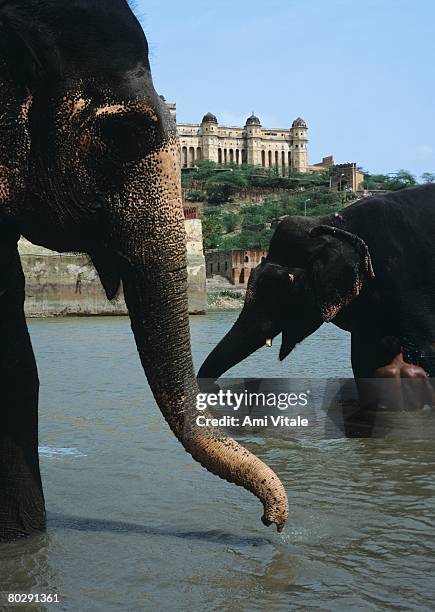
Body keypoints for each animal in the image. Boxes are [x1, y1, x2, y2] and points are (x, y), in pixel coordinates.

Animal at [199, 184, 435, 390]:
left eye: (282, 287)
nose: (217, 387)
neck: (332, 224)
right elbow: (363, 360)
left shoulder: (403, 277)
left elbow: (426, 351)